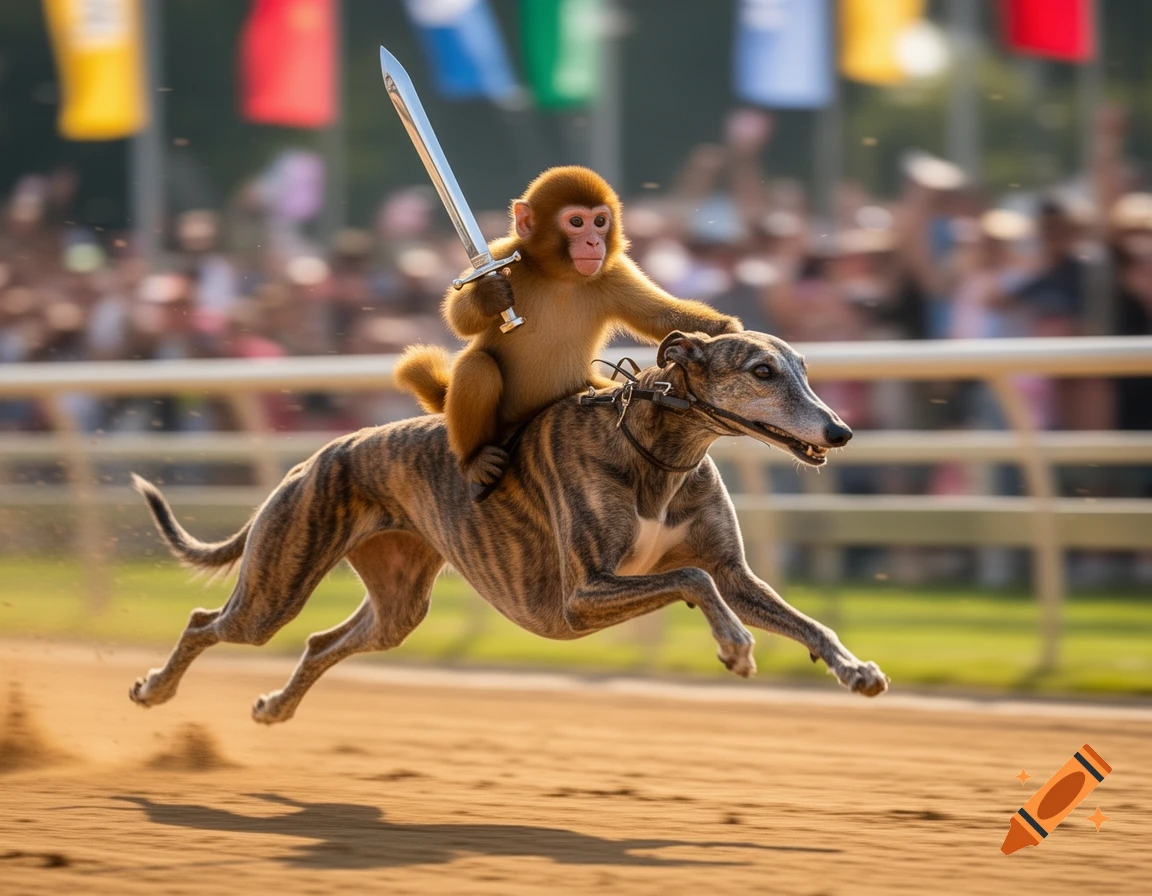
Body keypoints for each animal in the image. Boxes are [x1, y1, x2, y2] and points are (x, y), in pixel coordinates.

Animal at [395, 166, 742, 493]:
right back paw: (475, 459)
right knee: (478, 366)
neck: (560, 276)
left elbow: (659, 316)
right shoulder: (504, 254)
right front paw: (489, 295)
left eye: (599, 221)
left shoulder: (612, 270)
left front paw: (727, 328)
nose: (593, 241)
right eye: (576, 222)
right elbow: (459, 318)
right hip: (500, 426)